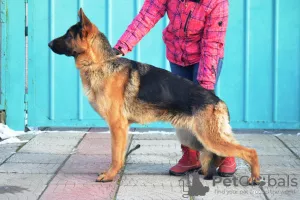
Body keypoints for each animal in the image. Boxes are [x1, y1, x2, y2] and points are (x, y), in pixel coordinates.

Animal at [48, 9, 260, 184]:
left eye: (68, 35)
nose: (48, 43)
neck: (100, 62)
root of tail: (218, 101)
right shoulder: (121, 128)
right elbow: (119, 154)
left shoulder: (117, 126)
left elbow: (115, 155)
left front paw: (109, 176)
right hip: (194, 137)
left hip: (209, 138)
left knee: (250, 151)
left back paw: (254, 177)